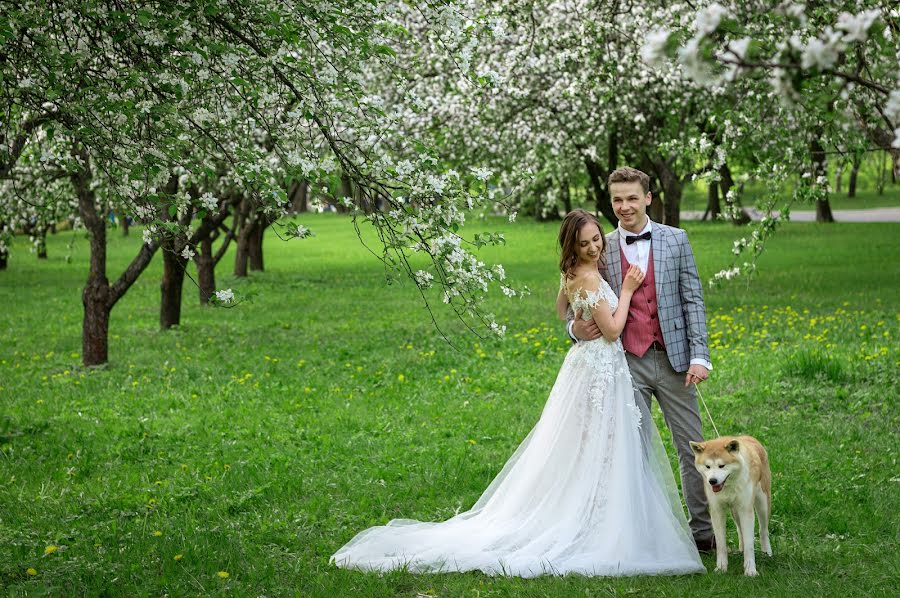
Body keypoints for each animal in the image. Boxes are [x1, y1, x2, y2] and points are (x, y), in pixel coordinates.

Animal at [688, 438, 772, 580]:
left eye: (722, 466)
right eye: (707, 466)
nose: (712, 481)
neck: (728, 485)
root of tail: (750, 438)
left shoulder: (746, 510)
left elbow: (750, 544)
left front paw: (750, 570)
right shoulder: (717, 511)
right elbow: (721, 544)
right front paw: (721, 568)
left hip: (762, 503)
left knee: (763, 530)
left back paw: (767, 553)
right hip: (735, 511)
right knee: (740, 530)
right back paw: (741, 549)